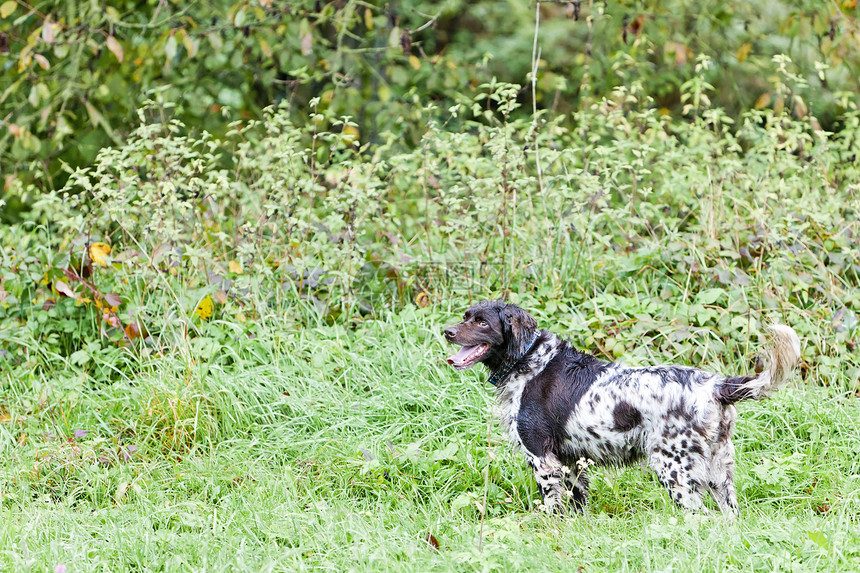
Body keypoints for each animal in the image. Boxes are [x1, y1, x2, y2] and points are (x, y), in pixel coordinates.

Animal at [444, 300, 800, 512]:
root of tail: (715, 385)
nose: (447, 332)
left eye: (483, 323)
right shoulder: (571, 461)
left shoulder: (542, 458)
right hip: (718, 472)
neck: (529, 360)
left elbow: (553, 507)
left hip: (675, 469)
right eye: (465, 317)